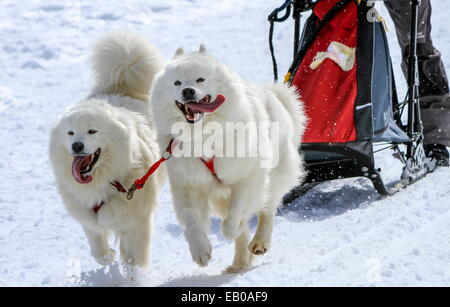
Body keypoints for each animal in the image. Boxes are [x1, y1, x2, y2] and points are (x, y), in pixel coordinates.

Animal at [49, 31, 165, 268]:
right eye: (70, 133)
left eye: (92, 131)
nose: (77, 146)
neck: (104, 183)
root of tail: (121, 84)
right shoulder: (87, 216)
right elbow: (96, 245)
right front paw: (107, 256)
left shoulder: (136, 220)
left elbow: (134, 257)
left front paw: (133, 272)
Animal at [150, 46, 306, 274]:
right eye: (177, 83)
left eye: (200, 79)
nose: (187, 91)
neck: (202, 137)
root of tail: (276, 97)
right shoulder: (187, 185)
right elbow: (191, 219)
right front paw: (200, 251)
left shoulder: (247, 177)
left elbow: (236, 213)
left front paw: (232, 229)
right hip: (218, 198)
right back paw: (240, 263)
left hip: (274, 174)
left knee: (267, 209)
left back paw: (259, 242)